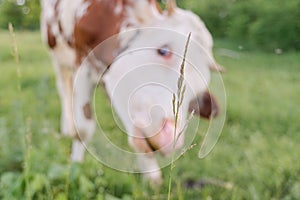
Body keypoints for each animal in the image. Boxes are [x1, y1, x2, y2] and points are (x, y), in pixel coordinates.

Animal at [41, 0, 221, 184]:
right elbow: (84, 128)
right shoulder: (82, 63)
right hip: (58, 58)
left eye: (195, 98)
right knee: (64, 89)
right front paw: (75, 165)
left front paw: (152, 175)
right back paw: (67, 127)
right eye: (164, 51)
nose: (170, 138)